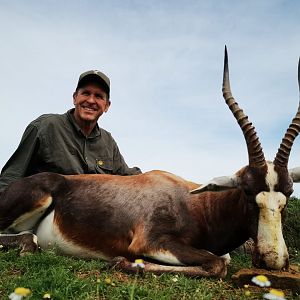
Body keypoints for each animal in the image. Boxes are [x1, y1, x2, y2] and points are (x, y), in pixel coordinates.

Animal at [0, 48, 300, 278]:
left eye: (289, 192)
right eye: (247, 191)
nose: (273, 260)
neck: (194, 203)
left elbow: (222, 259)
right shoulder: (153, 242)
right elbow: (216, 264)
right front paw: (121, 261)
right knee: (29, 238)